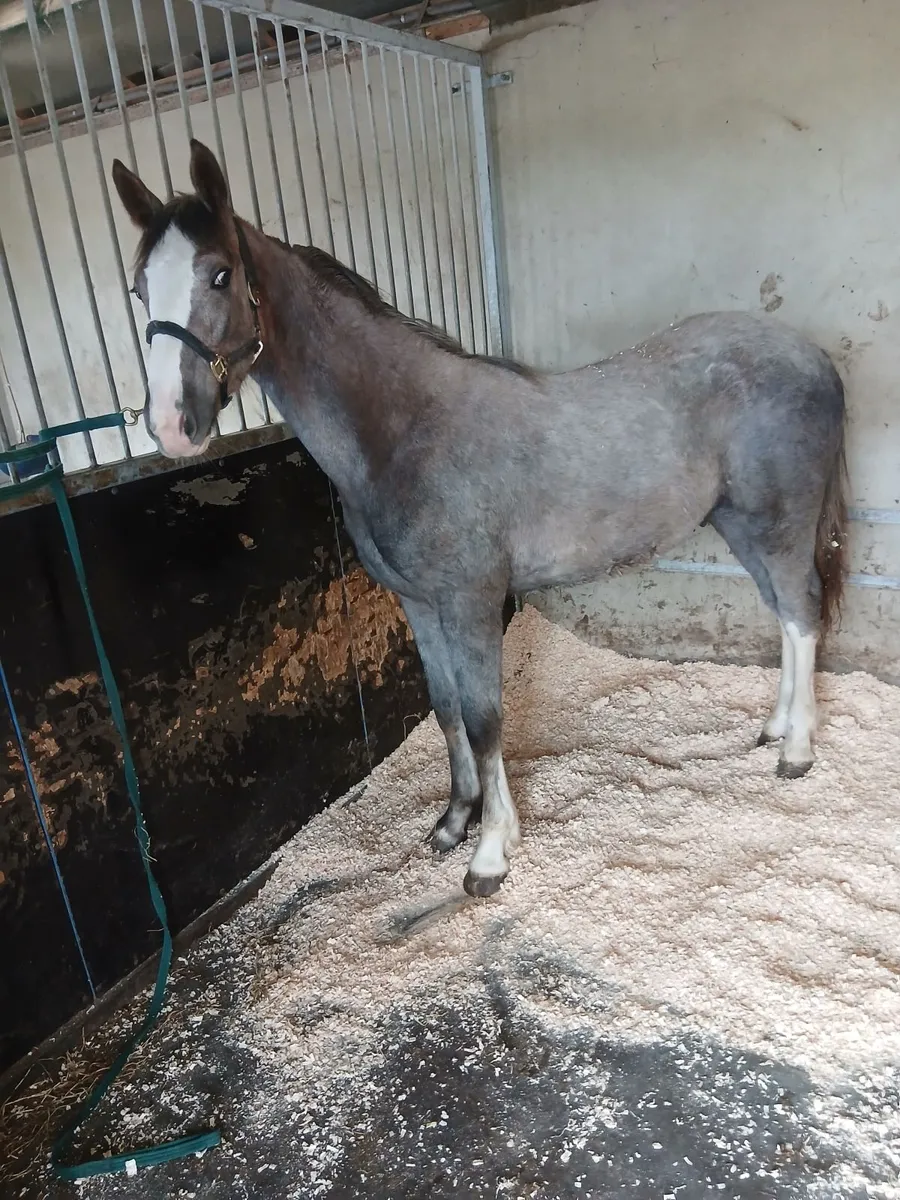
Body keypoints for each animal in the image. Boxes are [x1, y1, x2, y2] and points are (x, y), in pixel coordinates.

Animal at [112, 140, 848, 899]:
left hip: (779, 524)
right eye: (138, 288)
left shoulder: (470, 602)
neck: (404, 429)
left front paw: (491, 851)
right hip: (742, 526)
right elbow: (445, 709)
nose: (172, 426)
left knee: (802, 611)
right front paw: (452, 822)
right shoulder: (419, 602)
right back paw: (775, 729)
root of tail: (813, 356)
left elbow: (485, 717)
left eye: (219, 274)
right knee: (786, 615)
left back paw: (796, 752)